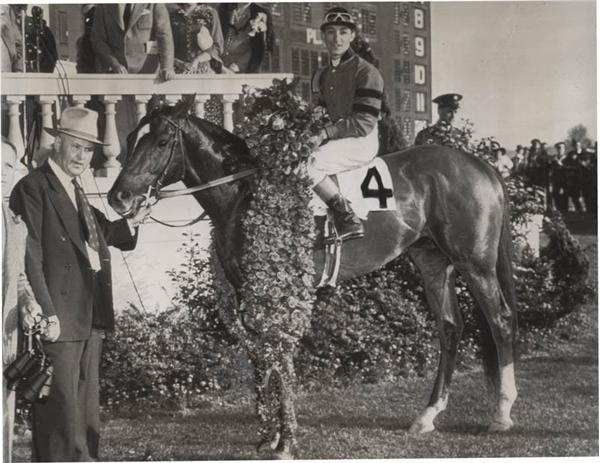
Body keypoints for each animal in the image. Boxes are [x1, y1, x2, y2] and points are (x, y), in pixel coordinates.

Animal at [109, 99, 520, 458]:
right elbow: (262, 361)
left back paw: (501, 413)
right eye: (130, 139)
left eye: (162, 141)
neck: (246, 194)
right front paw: (269, 436)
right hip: (432, 263)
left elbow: (279, 360)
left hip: (475, 263)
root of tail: (478, 164)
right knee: (450, 327)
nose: (118, 197)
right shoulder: (247, 294)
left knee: (500, 320)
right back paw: (427, 415)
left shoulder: (275, 294)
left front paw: (286, 442)